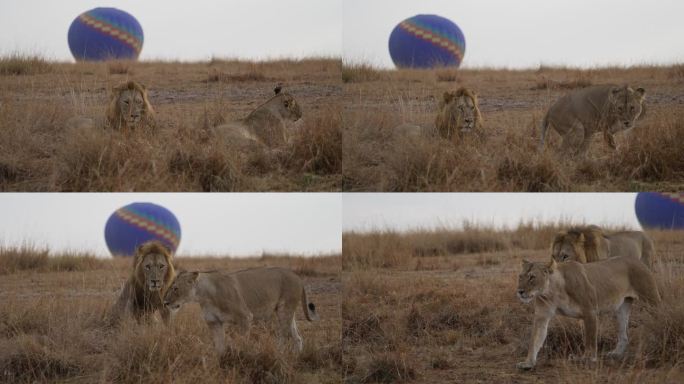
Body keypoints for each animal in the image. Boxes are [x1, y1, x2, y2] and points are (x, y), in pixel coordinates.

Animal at [163, 268, 318, 354]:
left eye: (175, 288)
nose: (165, 302)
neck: (204, 296)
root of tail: (298, 277)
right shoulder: (213, 322)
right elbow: (219, 346)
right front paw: (220, 362)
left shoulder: (245, 317)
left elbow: (243, 341)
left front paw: (243, 358)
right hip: (286, 312)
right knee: (297, 337)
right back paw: (297, 357)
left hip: (284, 309)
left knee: (284, 336)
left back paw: (279, 354)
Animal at [520, 256, 656, 370]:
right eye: (520, 277)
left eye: (532, 277)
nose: (520, 291)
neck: (553, 292)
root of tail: (636, 259)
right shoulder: (541, 315)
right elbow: (535, 339)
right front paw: (528, 362)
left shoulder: (590, 312)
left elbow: (590, 339)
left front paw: (587, 358)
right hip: (622, 309)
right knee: (624, 335)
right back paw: (616, 353)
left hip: (650, 298)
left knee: (658, 313)